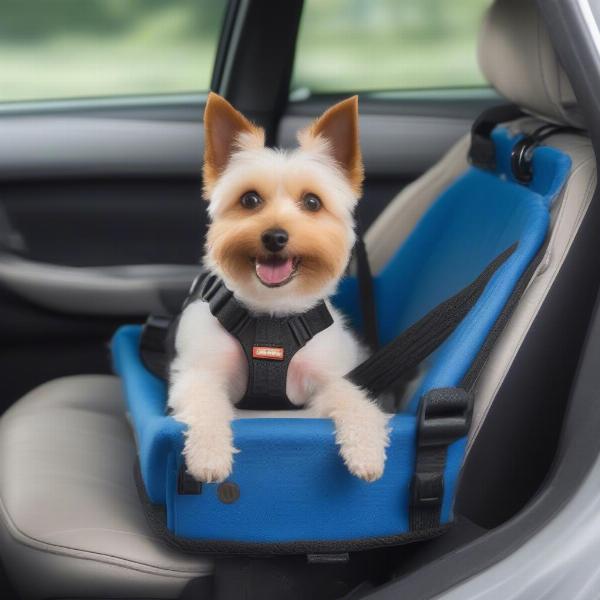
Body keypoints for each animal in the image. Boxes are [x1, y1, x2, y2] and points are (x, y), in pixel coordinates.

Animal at [169, 95, 392, 488]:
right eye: (249, 200)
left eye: (313, 202)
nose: (275, 236)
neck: (271, 315)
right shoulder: (198, 374)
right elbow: (206, 403)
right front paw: (209, 454)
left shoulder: (327, 381)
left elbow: (353, 399)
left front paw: (366, 449)